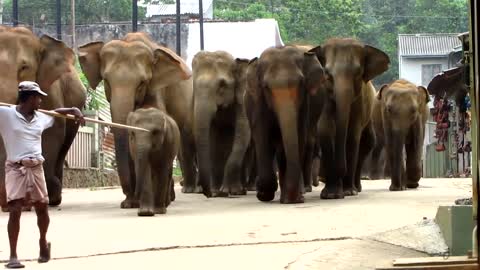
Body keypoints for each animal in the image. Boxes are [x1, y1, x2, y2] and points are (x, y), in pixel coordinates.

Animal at [78, 32, 198, 209]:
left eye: (142, 83)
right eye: (106, 81)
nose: (132, 195)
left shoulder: (157, 87)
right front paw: (129, 203)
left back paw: (169, 199)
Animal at [191, 50, 251, 197]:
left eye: (222, 85)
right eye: (194, 86)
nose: (208, 194)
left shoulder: (242, 99)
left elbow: (243, 133)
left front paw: (228, 191)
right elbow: (212, 138)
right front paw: (217, 192)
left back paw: (240, 191)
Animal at [248, 46, 330, 202]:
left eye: (301, 83)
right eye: (266, 87)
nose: (298, 198)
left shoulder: (304, 105)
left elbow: (299, 137)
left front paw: (293, 200)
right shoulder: (258, 103)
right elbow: (262, 138)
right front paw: (264, 194)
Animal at [310, 38, 392, 198]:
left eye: (358, 73)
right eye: (327, 74)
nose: (341, 170)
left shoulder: (360, 101)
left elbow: (353, 133)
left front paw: (347, 192)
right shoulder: (324, 95)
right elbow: (325, 129)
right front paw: (330, 194)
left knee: (367, 142)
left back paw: (356, 188)